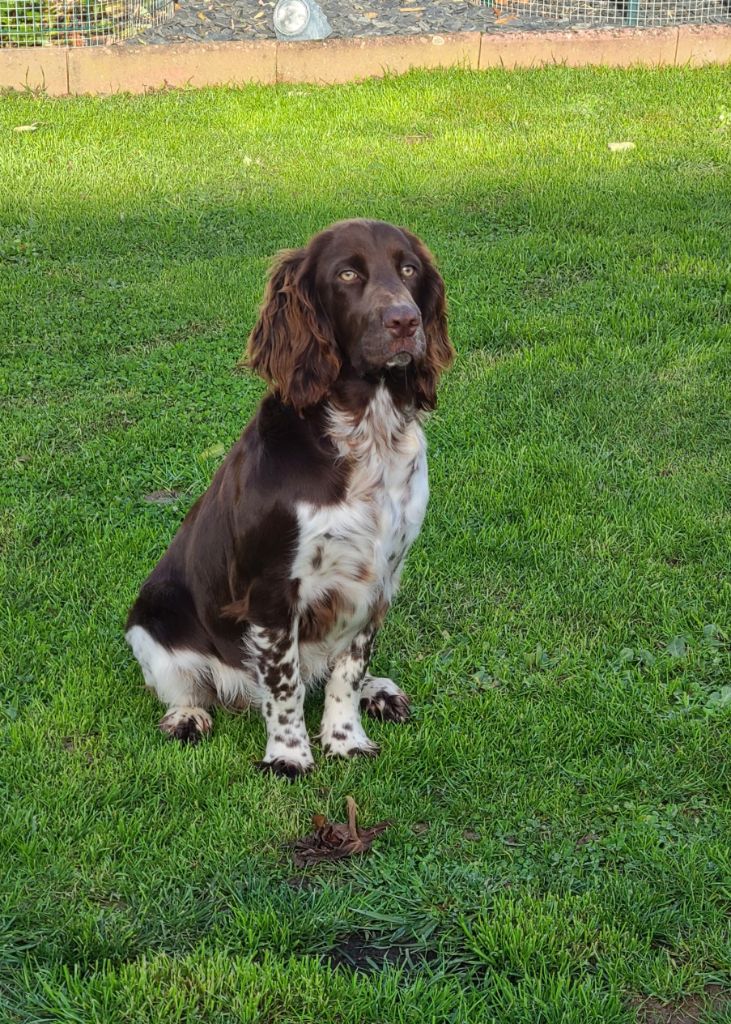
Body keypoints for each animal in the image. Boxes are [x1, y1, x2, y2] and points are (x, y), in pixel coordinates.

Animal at [126, 219, 453, 778]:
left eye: (409, 269)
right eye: (347, 274)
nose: (406, 321)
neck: (365, 434)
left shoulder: (380, 578)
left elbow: (347, 669)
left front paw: (345, 739)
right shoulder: (272, 589)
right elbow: (284, 686)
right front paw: (289, 755)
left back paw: (379, 691)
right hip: (151, 621)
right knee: (186, 686)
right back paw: (188, 716)